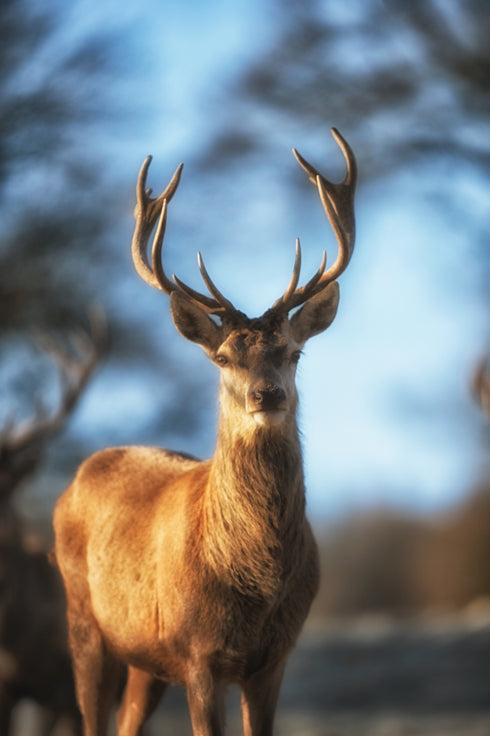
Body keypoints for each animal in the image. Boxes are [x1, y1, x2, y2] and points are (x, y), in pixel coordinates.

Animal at [53, 127, 357, 736]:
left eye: (294, 352)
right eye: (222, 357)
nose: (267, 395)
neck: (256, 584)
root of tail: (75, 480)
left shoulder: (274, 657)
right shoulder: (196, 651)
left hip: (145, 661)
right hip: (84, 622)